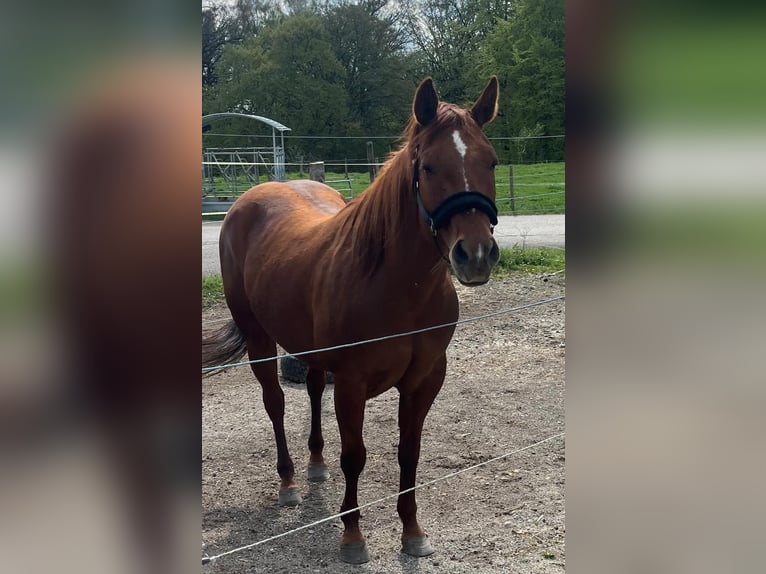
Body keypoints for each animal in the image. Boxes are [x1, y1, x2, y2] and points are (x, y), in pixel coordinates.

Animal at [202, 76, 501, 564]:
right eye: (428, 167)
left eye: (491, 161)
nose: (475, 256)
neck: (396, 284)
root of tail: (252, 196)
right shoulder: (352, 382)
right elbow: (355, 456)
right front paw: (353, 537)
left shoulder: (424, 379)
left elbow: (409, 452)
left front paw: (412, 532)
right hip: (260, 338)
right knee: (275, 402)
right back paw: (289, 482)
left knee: (311, 392)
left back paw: (315, 466)